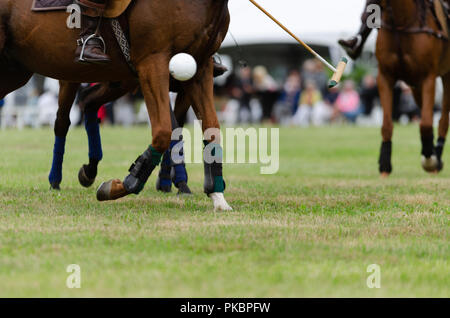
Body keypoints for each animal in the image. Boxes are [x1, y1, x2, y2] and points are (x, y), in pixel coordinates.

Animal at [0, 0, 232, 211]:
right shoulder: (153, 61)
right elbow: (165, 132)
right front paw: (123, 185)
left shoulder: (200, 67)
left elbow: (210, 129)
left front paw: (217, 195)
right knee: (63, 121)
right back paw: (56, 179)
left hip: (17, 71)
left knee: (87, 103)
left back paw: (88, 169)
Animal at [376, 0, 450, 175]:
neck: (402, 22)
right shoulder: (384, 76)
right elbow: (387, 124)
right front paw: (384, 165)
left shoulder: (428, 77)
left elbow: (426, 124)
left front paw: (430, 158)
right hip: (415, 87)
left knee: (443, 119)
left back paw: (436, 156)